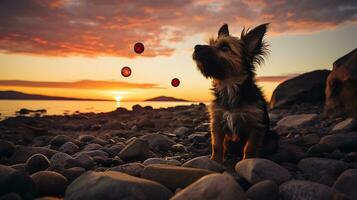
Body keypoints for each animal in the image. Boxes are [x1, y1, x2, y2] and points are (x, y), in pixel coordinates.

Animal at [192, 23, 278, 162]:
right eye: (211, 43)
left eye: (225, 47)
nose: (196, 47)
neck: (229, 86)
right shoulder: (217, 123)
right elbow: (217, 145)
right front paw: (215, 161)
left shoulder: (256, 127)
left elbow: (250, 148)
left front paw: (247, 161)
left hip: (272, 138)